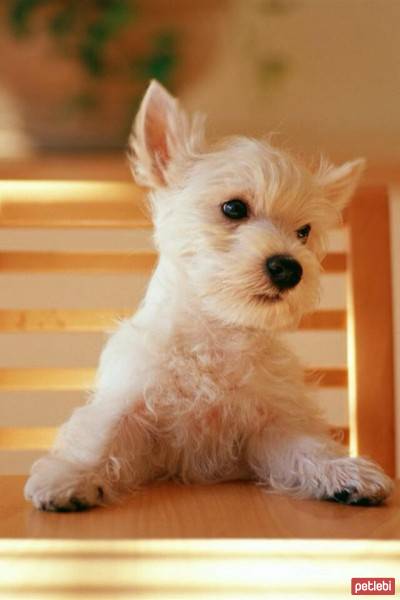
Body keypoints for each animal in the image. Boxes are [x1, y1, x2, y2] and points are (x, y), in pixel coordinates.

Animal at [24, 79, 390, 510]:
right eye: (233, 208)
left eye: (304, 231)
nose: (289, 268)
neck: (216, 332)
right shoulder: (133, 405)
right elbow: (102, 435)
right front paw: (71, 476)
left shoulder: (270, 426)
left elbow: (307, 447)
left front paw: (344, 472)